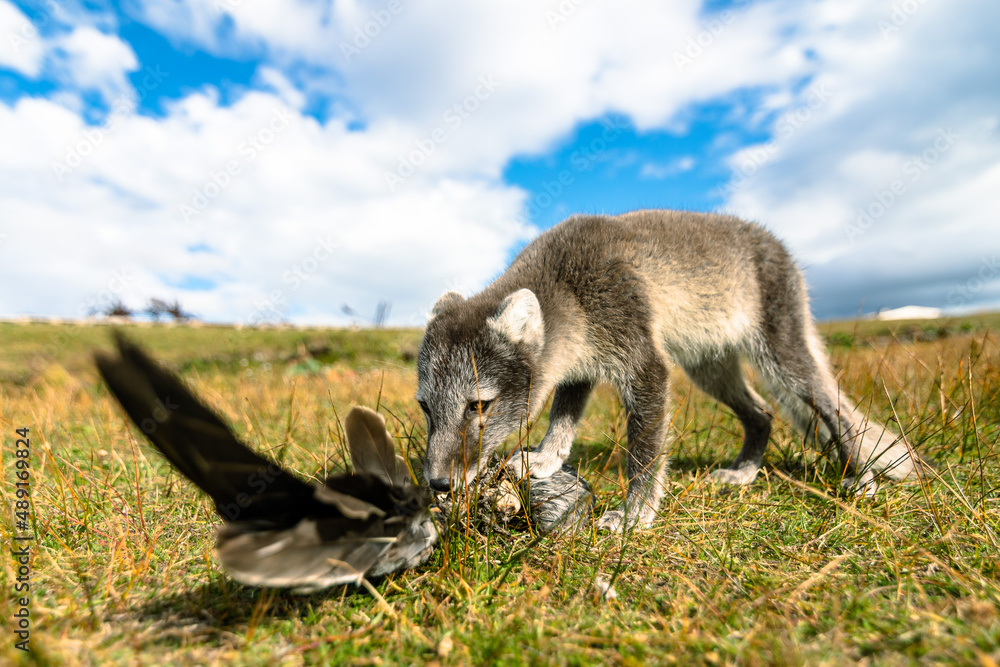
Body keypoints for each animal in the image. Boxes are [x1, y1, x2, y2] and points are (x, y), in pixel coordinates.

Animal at [417, 209, 923, 531]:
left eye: (479, 405)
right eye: (424, 408)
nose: (438, 484)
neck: (568, 289)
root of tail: (780, 247)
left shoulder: (645, 363)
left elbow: (644, 453)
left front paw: (635, 514)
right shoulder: (579, 366)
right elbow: (563, 420)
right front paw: (544, 459)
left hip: (782, 355)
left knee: (834, 407)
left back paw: (860, 478)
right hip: (709, 368)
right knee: (762, 413)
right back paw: (745, 473)